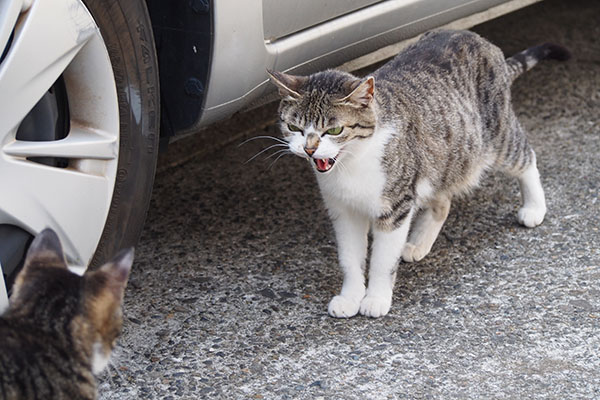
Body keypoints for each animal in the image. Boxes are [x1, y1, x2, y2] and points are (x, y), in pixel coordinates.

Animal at [268, 29, 572, 318]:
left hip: (494, 138)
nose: (309, 149)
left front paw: (376, 298)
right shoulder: (343, 211)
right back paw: (418, 244)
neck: (352, 166)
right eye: (294, 127)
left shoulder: (395, 207)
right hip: (442, 159)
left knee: (526, 157)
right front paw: (350, 297)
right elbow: (350, 259)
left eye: (333, 130)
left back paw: (534, 207)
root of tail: (481, 40)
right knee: (442, 200)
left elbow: (382, 260)